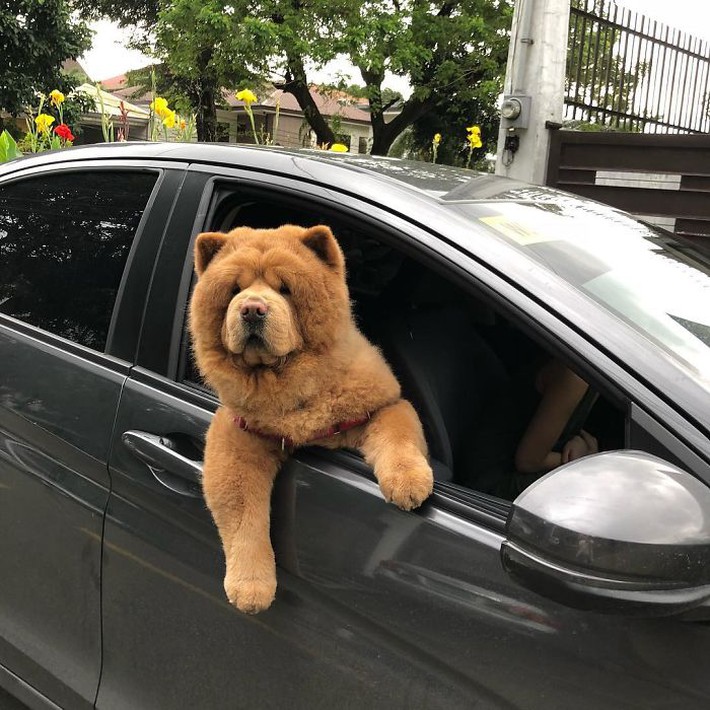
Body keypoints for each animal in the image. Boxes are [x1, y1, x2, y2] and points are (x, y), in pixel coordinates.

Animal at [189, 225, 434, 616]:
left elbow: (397, 434)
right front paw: (251, 588)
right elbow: (242, 514)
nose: (252, 309)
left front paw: (409, 484)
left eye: (285, 289)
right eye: (234, 290)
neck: (286, 384)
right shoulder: (239, 437)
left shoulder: (383, 405)